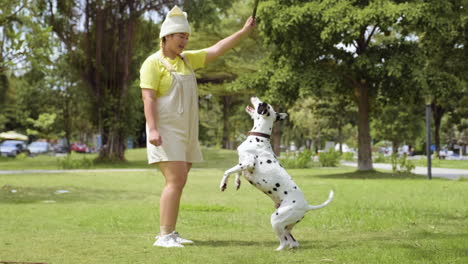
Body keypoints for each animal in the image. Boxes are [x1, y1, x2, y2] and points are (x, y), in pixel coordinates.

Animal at [219, 97, 332, 252]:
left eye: (261, 103)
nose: (254, 97)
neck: (258, 138)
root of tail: (307, 206)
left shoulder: (247, 163)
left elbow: (227, 171)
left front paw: (223, 184)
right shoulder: (244, 164)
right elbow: (237, 172)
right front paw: (237, 182)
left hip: (276, 220)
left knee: (284, 241)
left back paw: (278, 250)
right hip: (286, 226)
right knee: (293, 241)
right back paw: (291, 246)